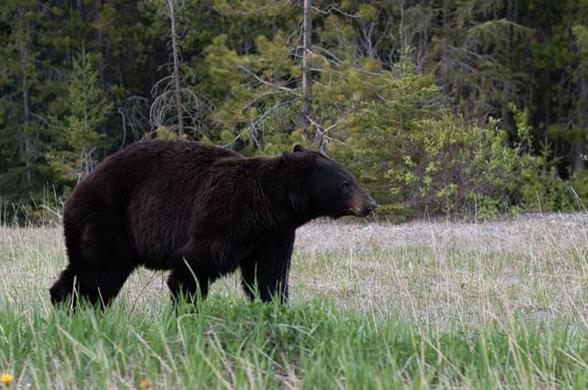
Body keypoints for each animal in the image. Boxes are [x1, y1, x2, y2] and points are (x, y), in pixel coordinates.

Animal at [48, 140, 374, 308]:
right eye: (346, 183)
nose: (370, 203)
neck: (268, 206)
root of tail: (76, 191)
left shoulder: (274, 236)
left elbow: (268, 276)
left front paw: (274, 308)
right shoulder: (224, 213)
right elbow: (195, 265)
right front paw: (186, 310)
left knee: (98, 275)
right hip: (107, 218)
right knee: (97, 270)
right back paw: (69, 306)